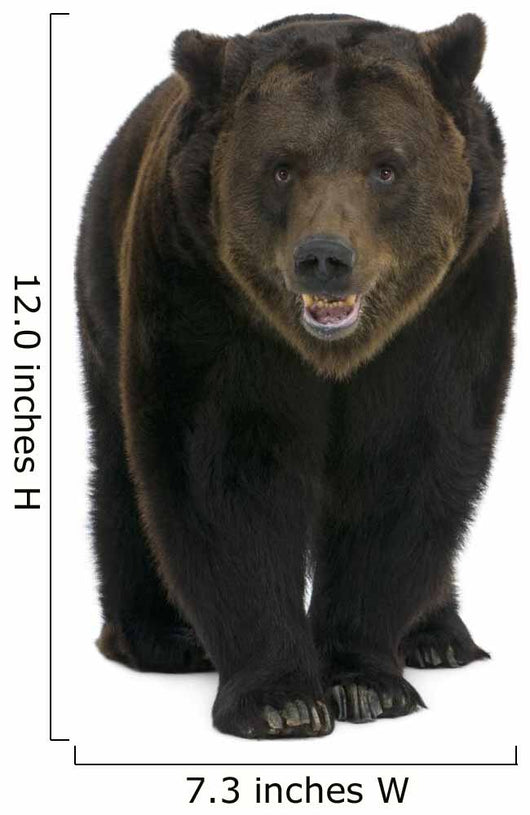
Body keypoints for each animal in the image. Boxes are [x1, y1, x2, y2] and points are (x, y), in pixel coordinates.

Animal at [76, 12, 515, 739]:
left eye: (385, 167)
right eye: (282, 167)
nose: (325, 258)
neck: (332, 355)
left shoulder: (443, 311)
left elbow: (408, 462)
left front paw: (366, 681)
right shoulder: (209, 296)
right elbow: (223, 474)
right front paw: (279, 701)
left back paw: (439, 636)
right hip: (107, 289)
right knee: (122, 465)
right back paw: (162, 636)